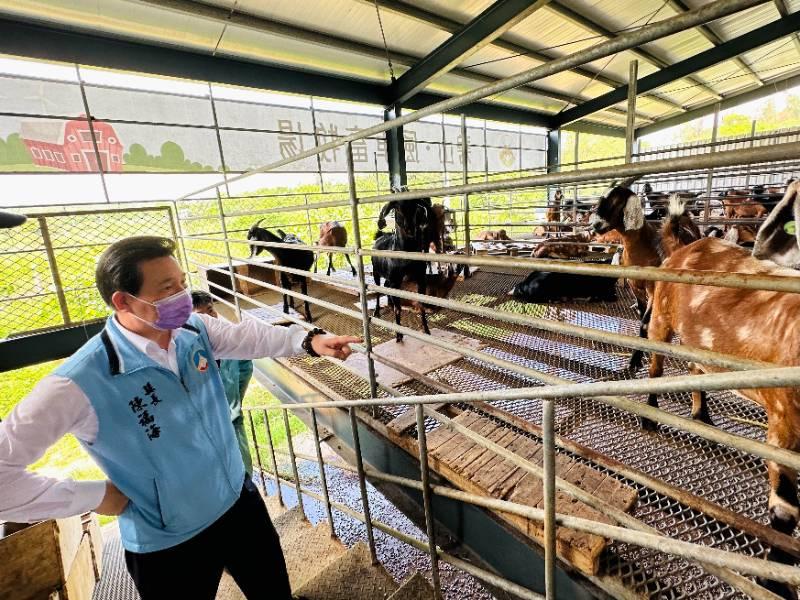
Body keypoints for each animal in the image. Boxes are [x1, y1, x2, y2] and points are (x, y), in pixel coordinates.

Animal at [370, 202, 428, 342]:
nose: (409, 229)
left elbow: (421, 305)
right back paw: (377, 312)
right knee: (378, 290)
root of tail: (381, 235)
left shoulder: (420, 279)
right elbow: (398, 309)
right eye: (397, 208)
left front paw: (426, 330)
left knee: (386, 286)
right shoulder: (395, 281)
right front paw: (399, 335)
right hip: (376, 272)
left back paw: (390, 304)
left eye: (416, 208)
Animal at [644, 236, 800, 596]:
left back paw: (702, 416)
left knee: (694, 367)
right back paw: (650, 416)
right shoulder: (783, 421)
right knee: (656, 364)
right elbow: (785, 508)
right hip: (660, 313)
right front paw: (775, 583)